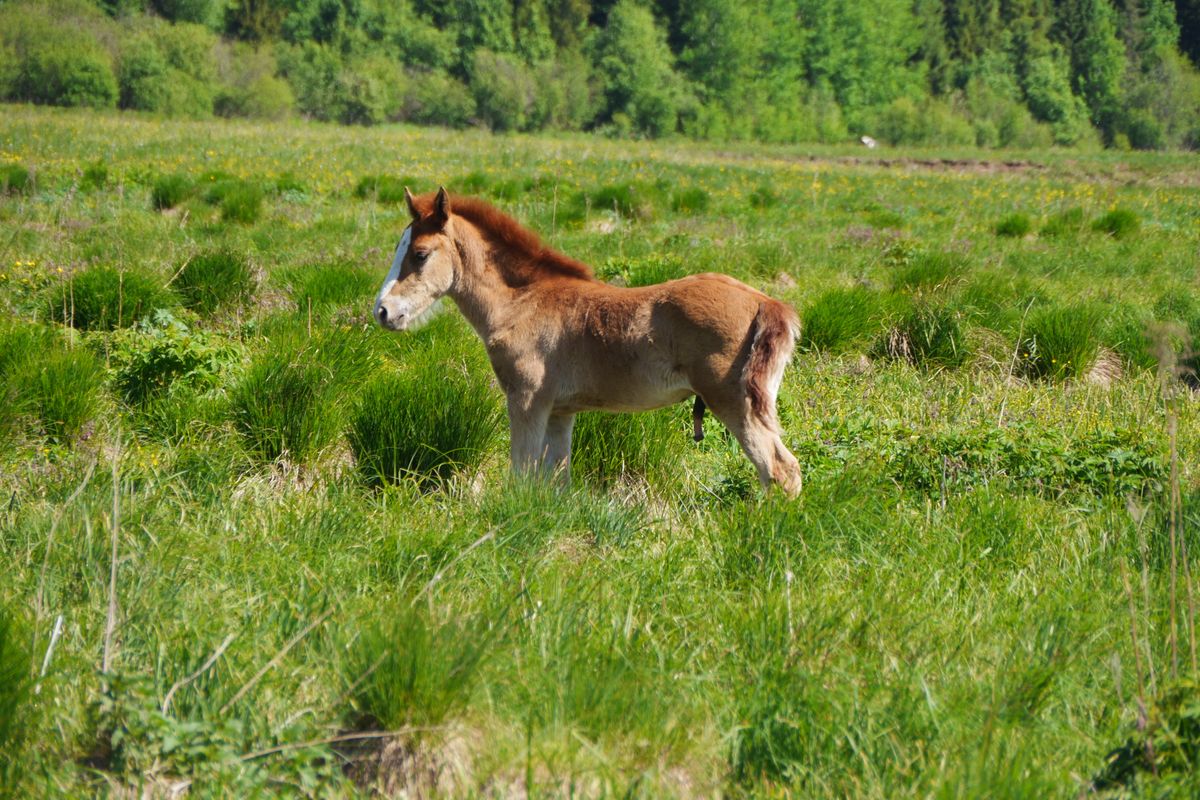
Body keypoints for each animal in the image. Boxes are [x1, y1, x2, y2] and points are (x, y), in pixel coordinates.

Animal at [374, 190, 806, 496]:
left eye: (420, 254)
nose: (382, 311)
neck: (521, 303)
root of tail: (765, 302)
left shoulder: (526, 400)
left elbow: (520, 473)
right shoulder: (560, 412)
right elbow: (555, 480)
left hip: (733, 400)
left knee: (779, 469)